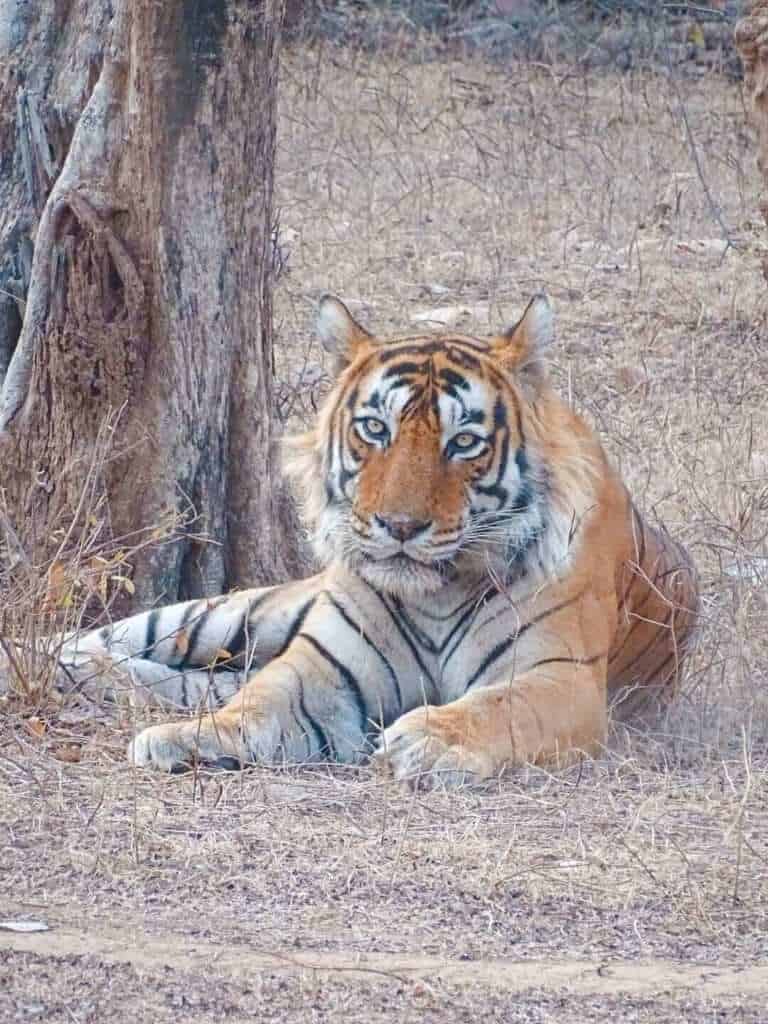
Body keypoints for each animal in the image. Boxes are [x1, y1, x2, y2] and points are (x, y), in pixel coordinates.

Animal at [12, 292, 700, 786]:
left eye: (464, 442)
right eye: (375, 429)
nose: (400, 527)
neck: (436, 592)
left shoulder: (560, 678)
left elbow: (496, 707)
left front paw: (427, 739)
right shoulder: (323, 665)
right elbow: (259, 703)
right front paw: (186, 738)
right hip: (238, 609)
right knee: (121, 639)